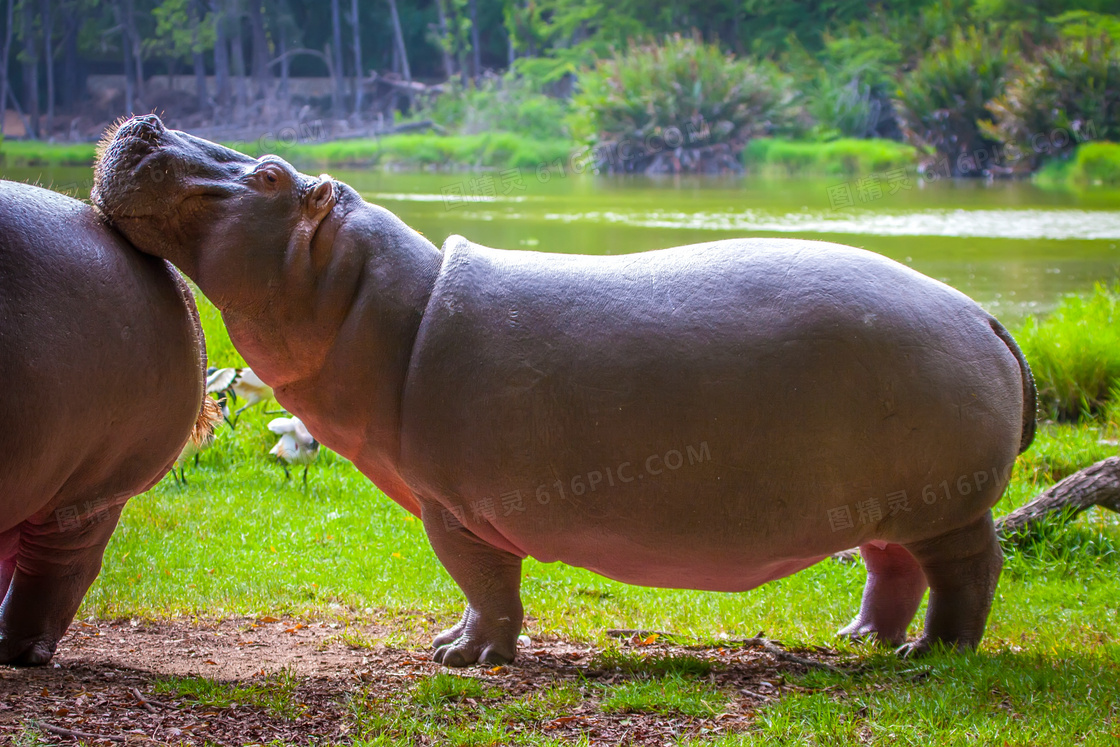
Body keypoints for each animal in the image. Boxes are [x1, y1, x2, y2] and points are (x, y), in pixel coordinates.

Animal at [91, 115, 1034, 667]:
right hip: (886, 500)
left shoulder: (457, 507)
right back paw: (862, 639)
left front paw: (461, 656)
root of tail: (985, 315)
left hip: (947, 502)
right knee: (891, 565)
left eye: (269, 175)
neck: (368, 294)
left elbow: (485, 585)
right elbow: (481, 591)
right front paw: (452, 644)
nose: (147, 117)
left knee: (967, 569)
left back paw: (932, 654)